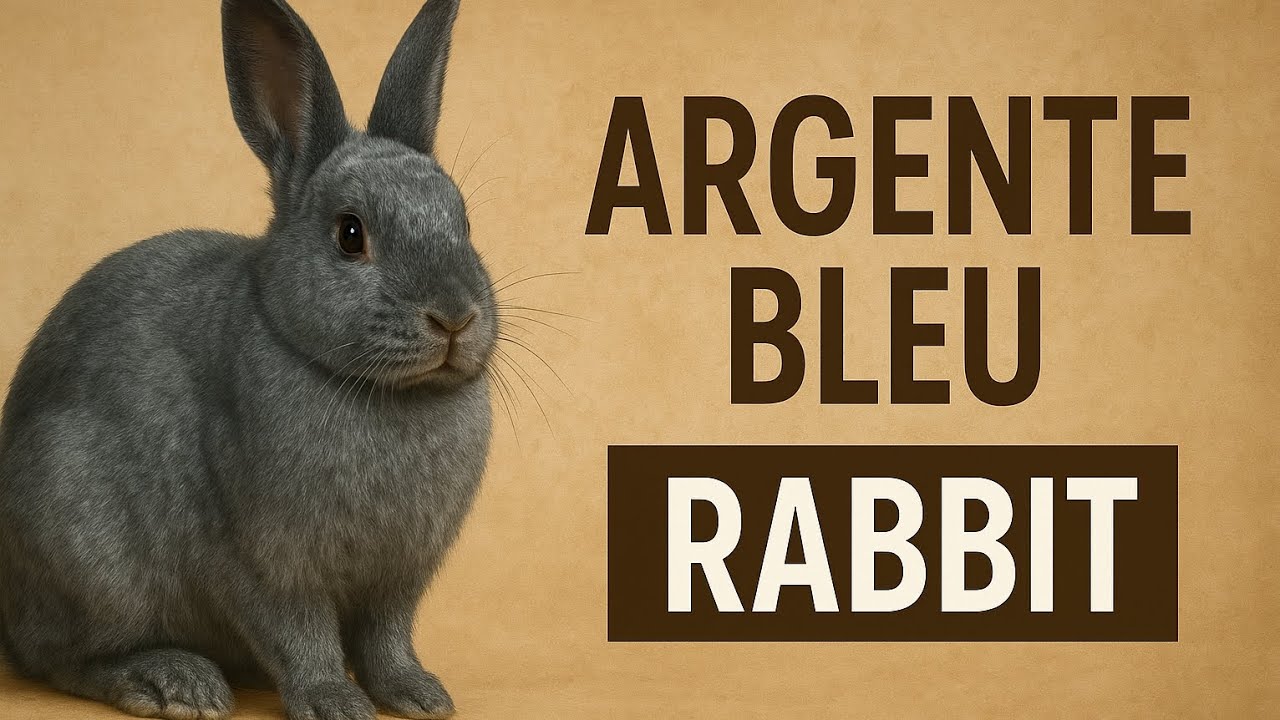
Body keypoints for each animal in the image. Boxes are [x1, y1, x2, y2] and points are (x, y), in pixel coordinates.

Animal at [0, 0, 494, 718]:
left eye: (464, 224)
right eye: (350, 234)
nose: (454, 315)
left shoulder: (397, 577)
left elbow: (387, 638)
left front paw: (419, 694)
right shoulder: (262, 562)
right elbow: (300, 635)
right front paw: (333, 701)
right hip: (83, 549)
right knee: (59, 660)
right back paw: (174, 682)